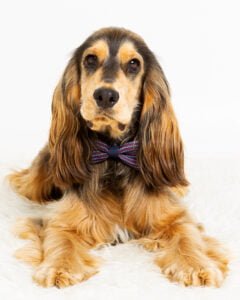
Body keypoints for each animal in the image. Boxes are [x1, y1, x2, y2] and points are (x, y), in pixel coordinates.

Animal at [8, 28, 229, 288]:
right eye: (90, 59)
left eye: (133, 64)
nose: (105, 95)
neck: (114, 154)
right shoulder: (61, 219)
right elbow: (60, 239)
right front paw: (60, 267)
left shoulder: (173, 216)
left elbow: (188, 236)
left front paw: (197, 266)